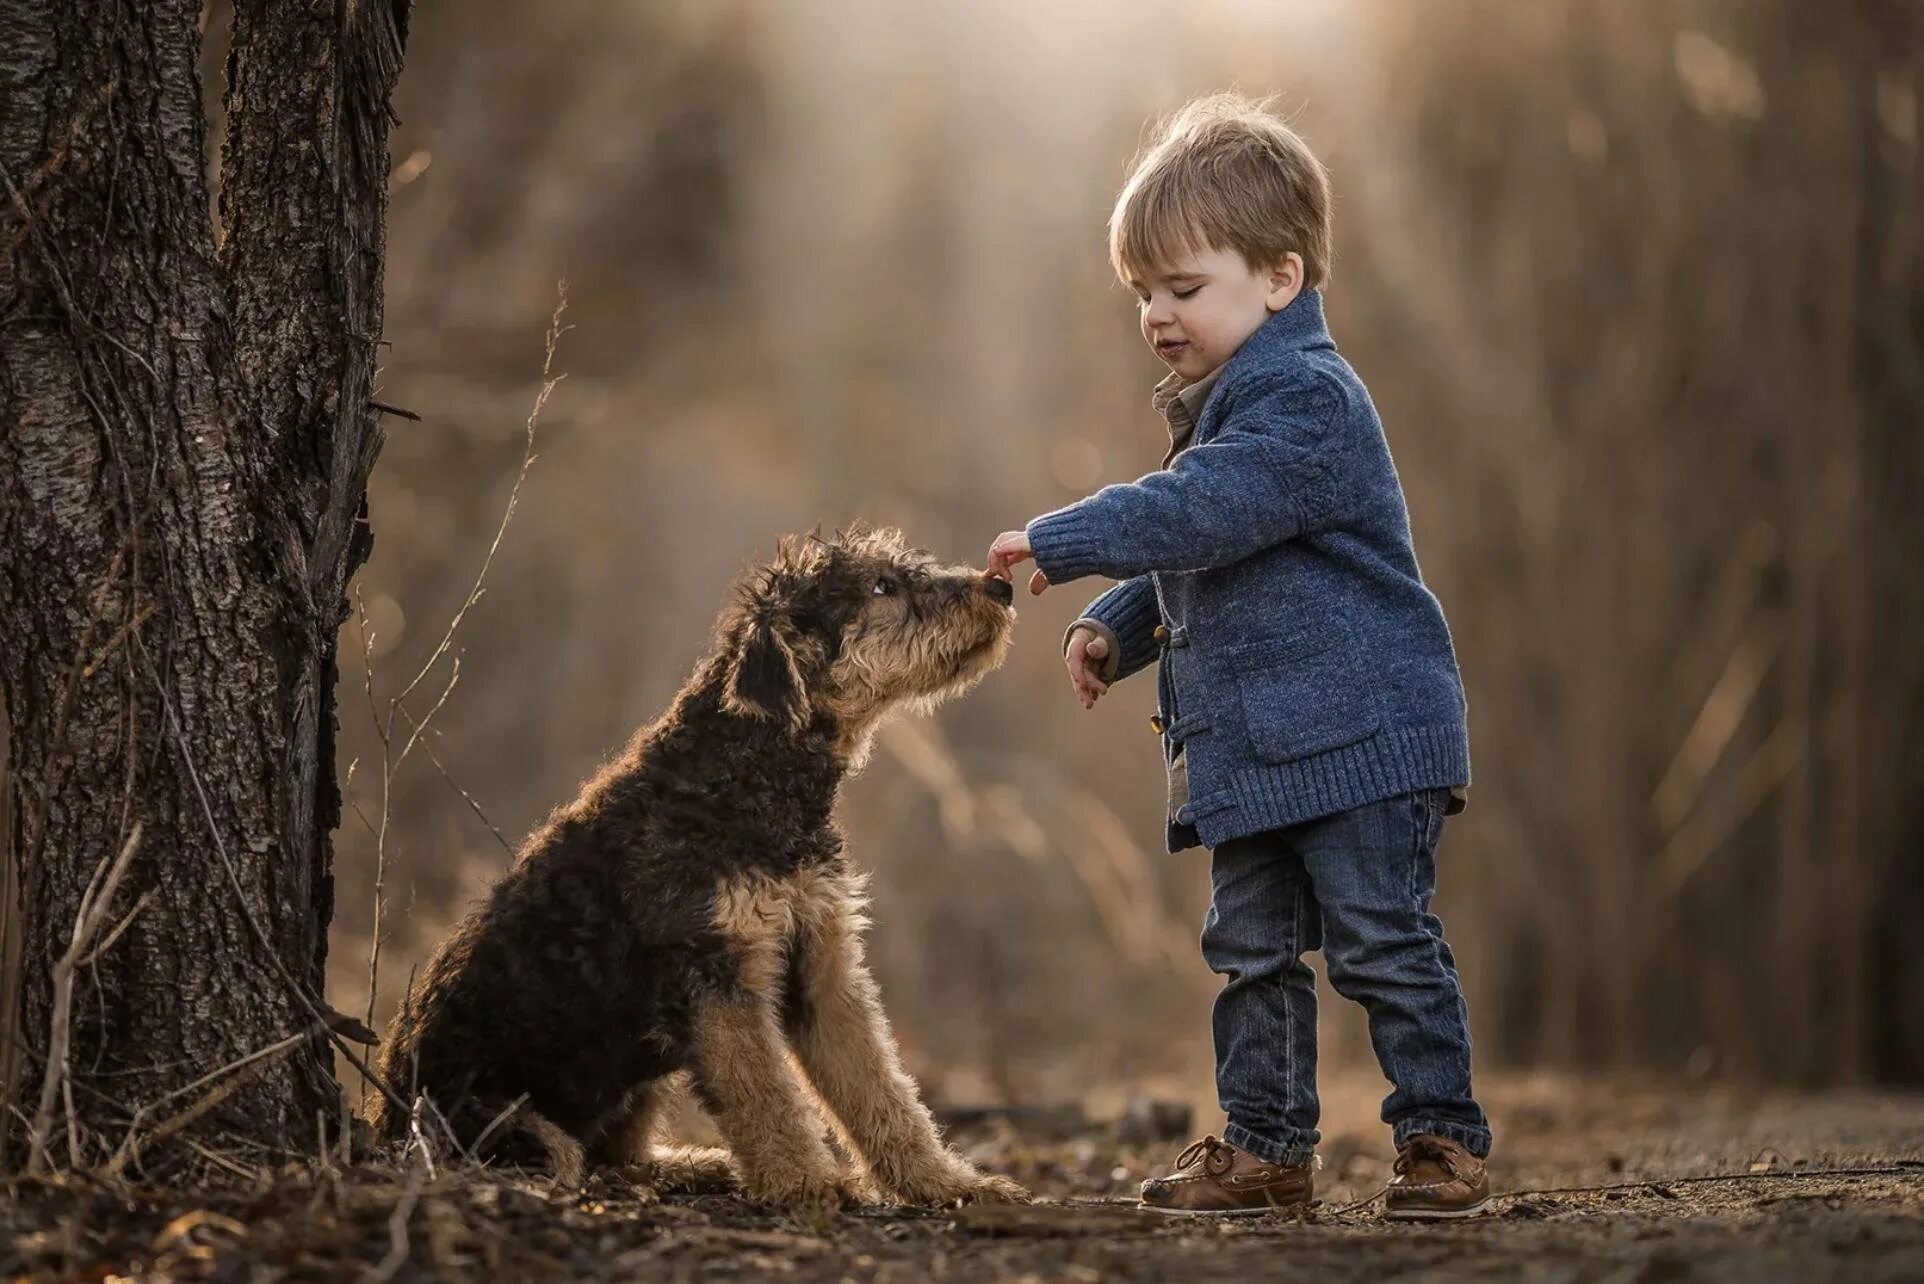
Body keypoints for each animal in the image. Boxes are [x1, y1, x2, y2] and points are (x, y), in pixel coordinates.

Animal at [367, 527, 1031, 1208]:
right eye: (882, 586)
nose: (999, 588)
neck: (743, 774)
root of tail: (381, 1122)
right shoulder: (718, 975)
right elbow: (766, 1096)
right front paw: (808, 1184)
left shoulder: (822, 967)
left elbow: (880, 1088)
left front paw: (945, 1182)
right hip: (506, 1118)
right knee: (571, 1160)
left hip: (639, 1082)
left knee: (622, 1156)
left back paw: (704, 1166)